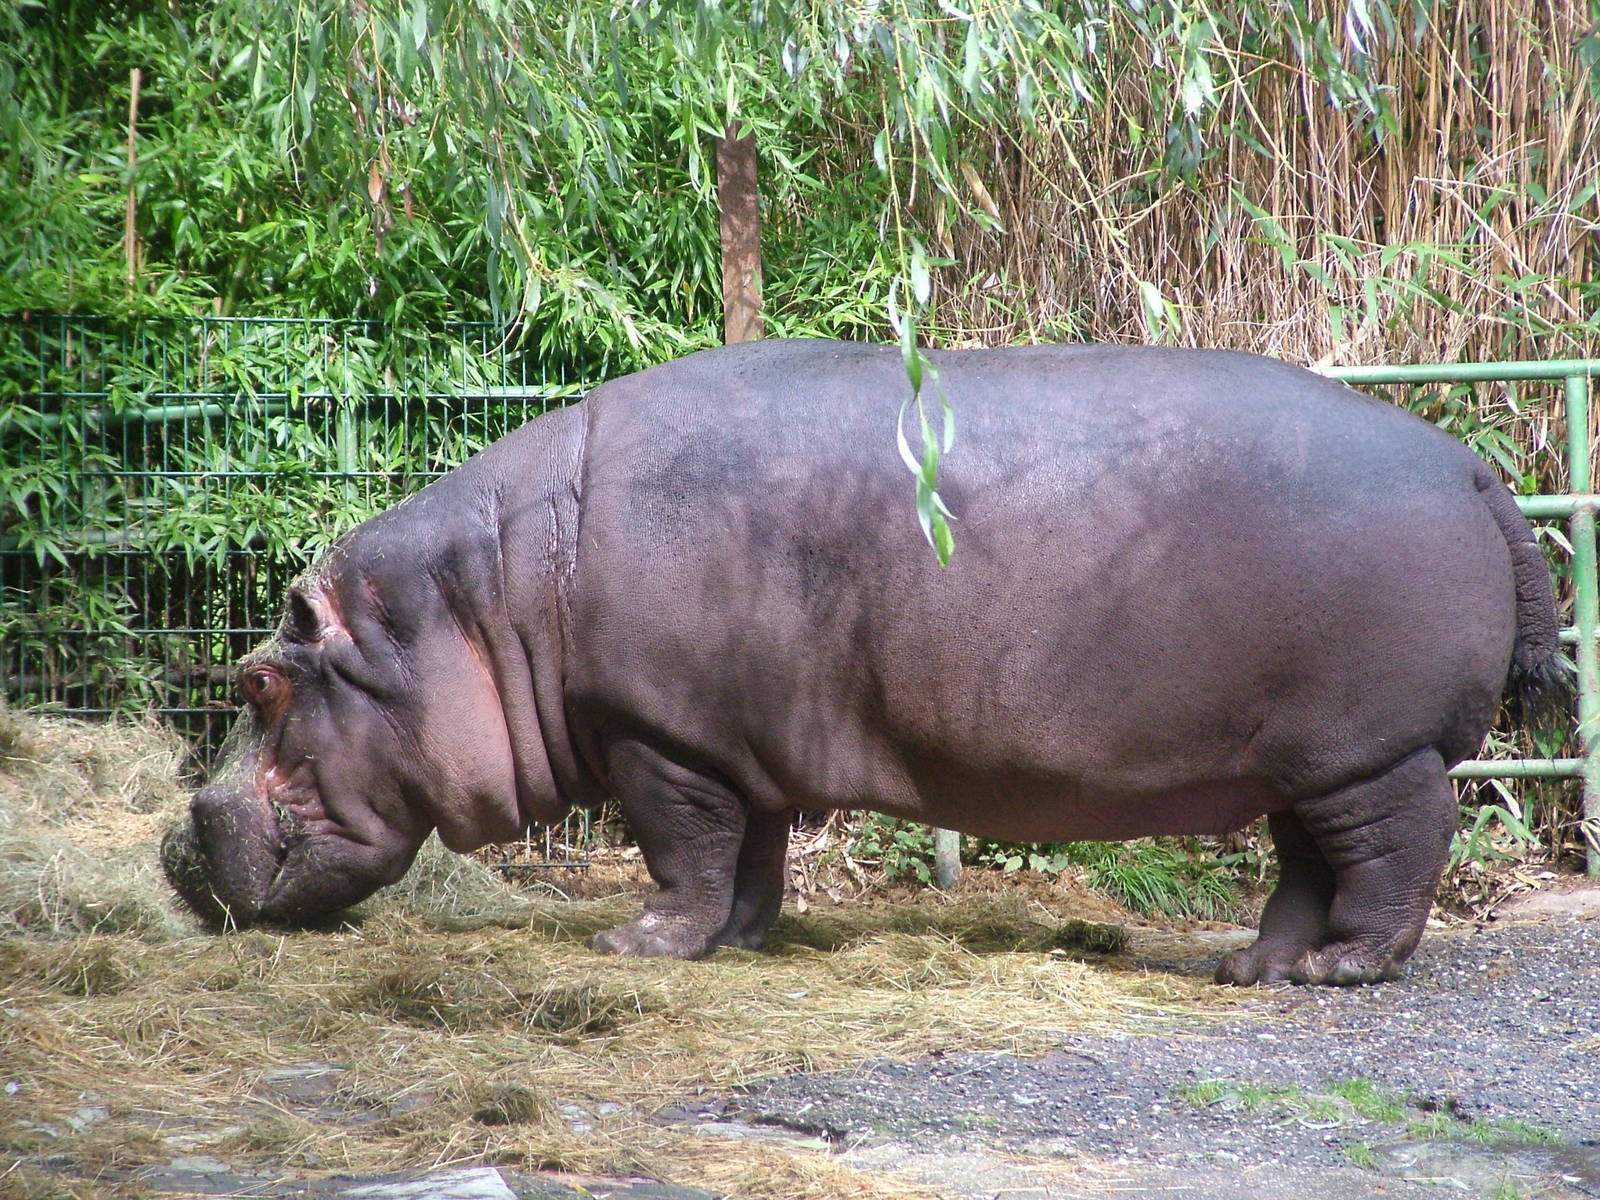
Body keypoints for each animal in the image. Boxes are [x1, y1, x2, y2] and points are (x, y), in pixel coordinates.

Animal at [162, 340, 1569, 985]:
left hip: (1373, 750)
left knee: (1394, 858)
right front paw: (734, 943)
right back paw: (1250, 966)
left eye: (260, 683)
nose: (178, 849)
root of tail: (1473, 468)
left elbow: (681, 853)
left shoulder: (657, 738)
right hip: (1296, 756)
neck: (486, 596)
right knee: (1304, 865)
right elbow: (748, 857)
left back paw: (1335, 972)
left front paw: (638, 944)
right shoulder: (726, 743)